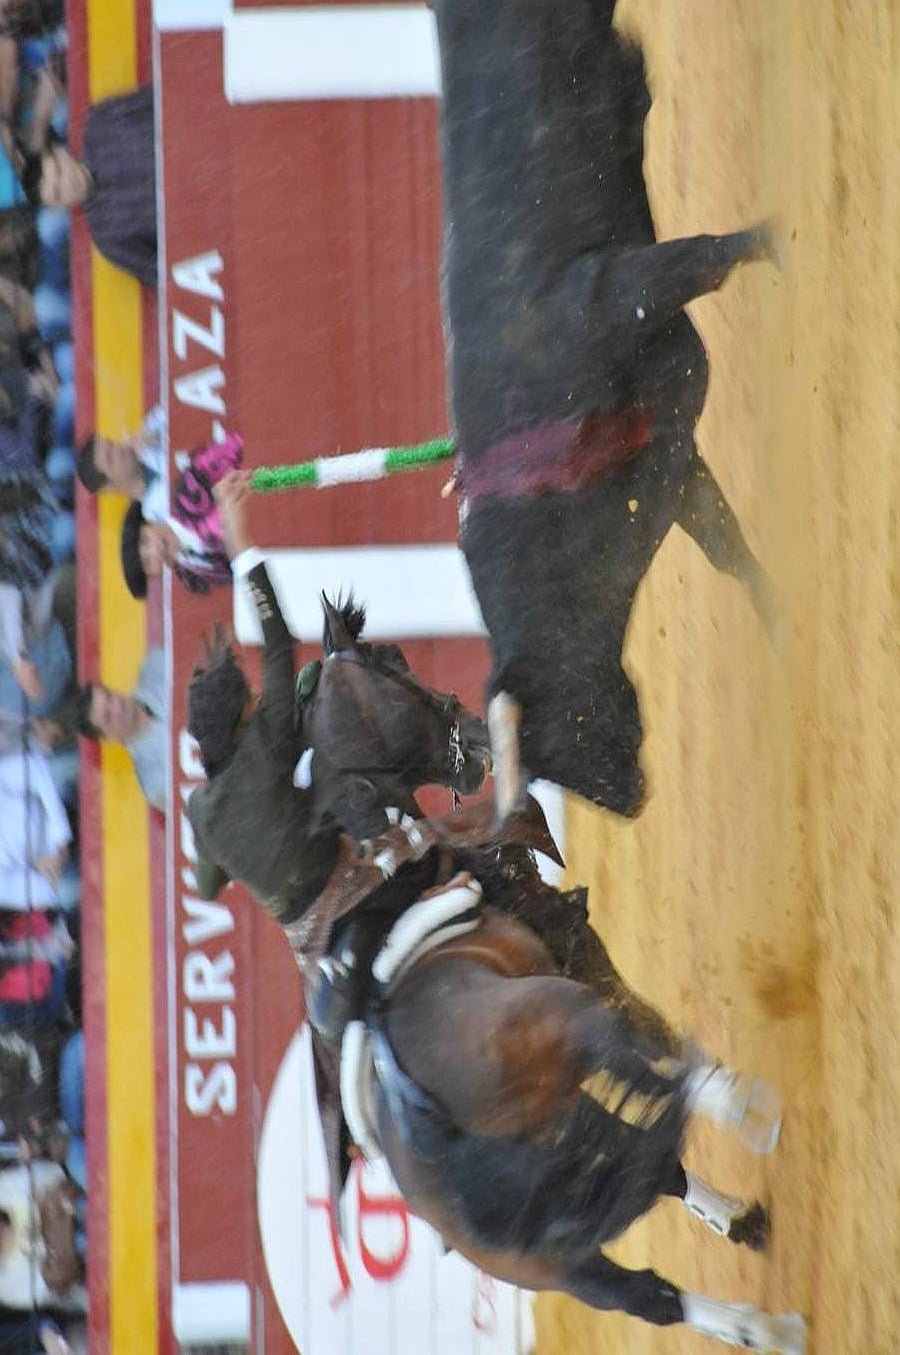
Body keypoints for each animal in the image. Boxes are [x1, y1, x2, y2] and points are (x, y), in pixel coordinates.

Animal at [439, 0, 775, 813]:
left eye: (565, 726)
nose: (632, 800)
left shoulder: (617, 293)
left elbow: (710, 253)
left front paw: (778, 236)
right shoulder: (675, 463)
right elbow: (727, 552)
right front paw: (782, 620)